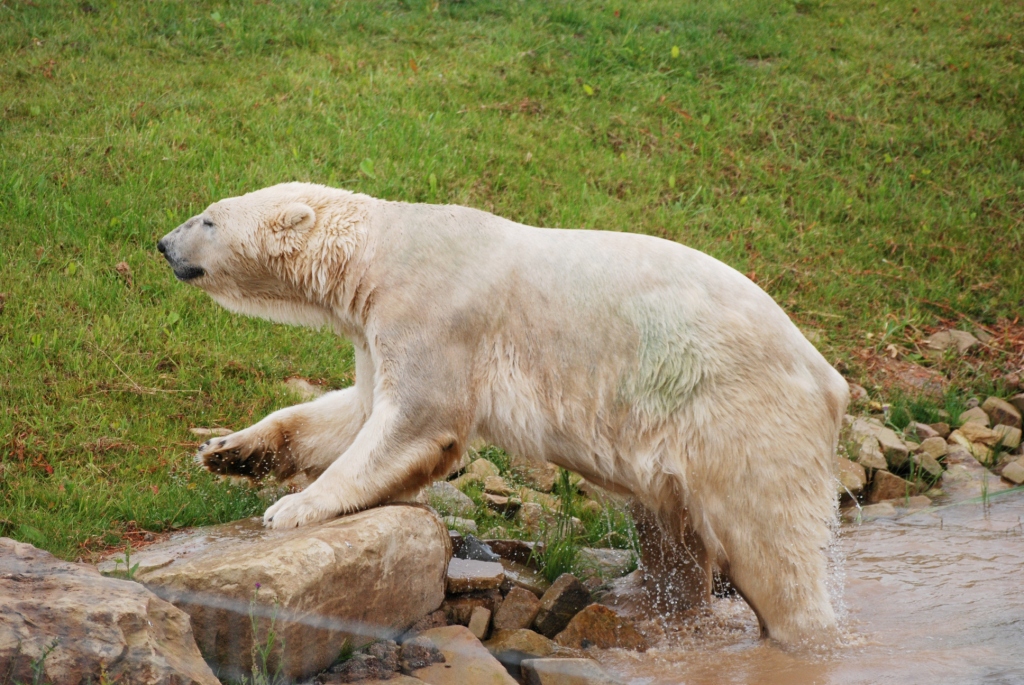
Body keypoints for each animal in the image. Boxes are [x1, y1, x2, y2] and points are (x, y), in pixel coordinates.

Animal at [157, 182, 849, 646]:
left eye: (208, 219)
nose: (163, 244)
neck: (385, 250)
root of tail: (831, 379)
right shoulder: (375, 327)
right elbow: (355, 411)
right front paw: (231, 451)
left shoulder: (434, 313)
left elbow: (414, 420)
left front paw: (293, 508)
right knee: (671, 532)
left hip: (739, 418)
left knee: (772, 547)